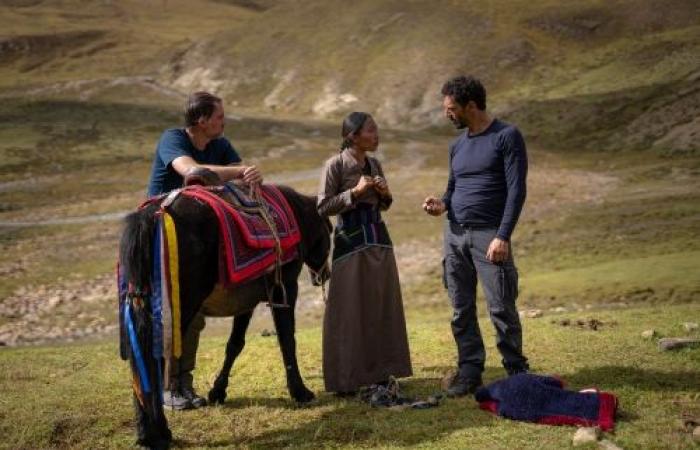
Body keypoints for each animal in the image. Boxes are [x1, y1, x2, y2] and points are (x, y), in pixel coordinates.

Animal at [117, 185, 330, 448]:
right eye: (330, 230)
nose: (324, 276)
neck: (295, 214)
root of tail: (155, 214)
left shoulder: (247, 302)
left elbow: (234, 345)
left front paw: (218, 391)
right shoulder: (286, 289)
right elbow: (287, 340)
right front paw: (300, 392)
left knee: (140, 362)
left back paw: (147, 433)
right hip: (178, 308)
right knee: (156, 360)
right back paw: (159, 433)